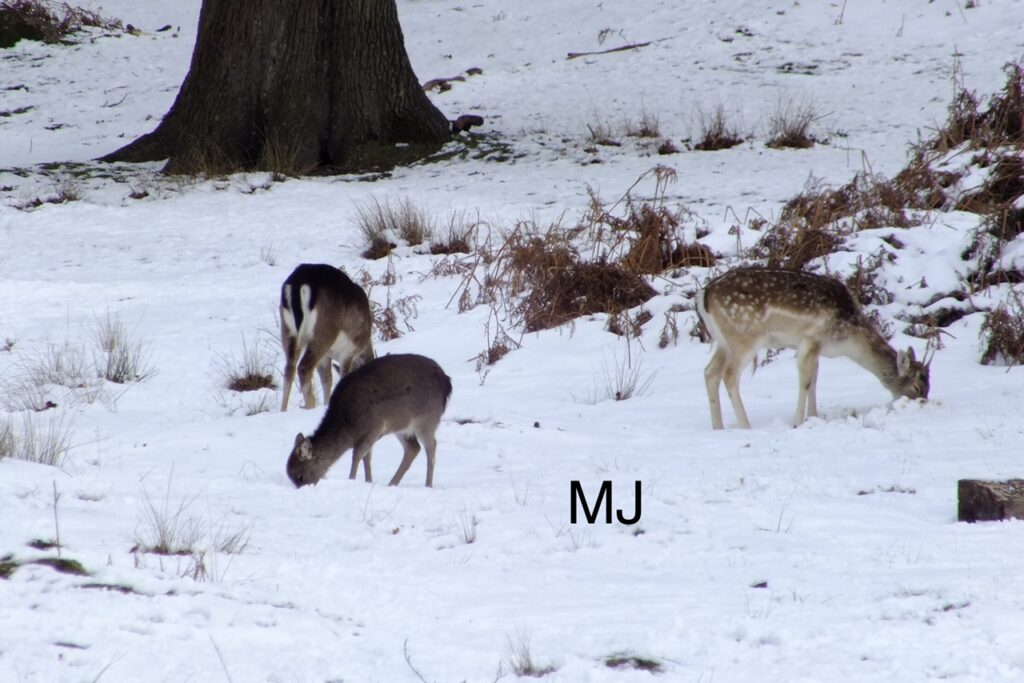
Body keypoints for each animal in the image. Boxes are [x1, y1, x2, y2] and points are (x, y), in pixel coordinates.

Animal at [280, 263, 375, 411]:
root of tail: (298, 283)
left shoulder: (325, 357)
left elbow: (327, 380)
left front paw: (326, 404)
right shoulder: (348, 351)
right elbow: (342, 377)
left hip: (288, 331)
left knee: (289, 369)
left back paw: (282, 410)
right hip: (323, 332)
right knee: (303, 368)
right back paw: (310, 406)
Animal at [286, 353, 452, 488]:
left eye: (300, 476)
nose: (302, 489)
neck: (347, 424)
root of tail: (447, 382)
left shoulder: (374, 426)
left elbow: (357, 454)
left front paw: (352, 479)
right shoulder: (371, 434)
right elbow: (367, 457)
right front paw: (368, 481)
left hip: (426, 418)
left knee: (431, 446)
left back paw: (428, 485)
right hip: (402, 426)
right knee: (413, 448)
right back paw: (392, 483)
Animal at [695, 267, 932, 430]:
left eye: (928, 387)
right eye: (916, 387)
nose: (923, 404)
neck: (848, 339)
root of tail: (703, 296)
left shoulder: (817, 348)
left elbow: (815, 379)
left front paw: (814, 416)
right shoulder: (810, 339)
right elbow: (806, 380)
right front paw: (797, 422)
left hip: (724, 342)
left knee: (709, 372)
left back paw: (718, 427)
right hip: (744, 336)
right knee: (729, 375)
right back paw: (746, 426)